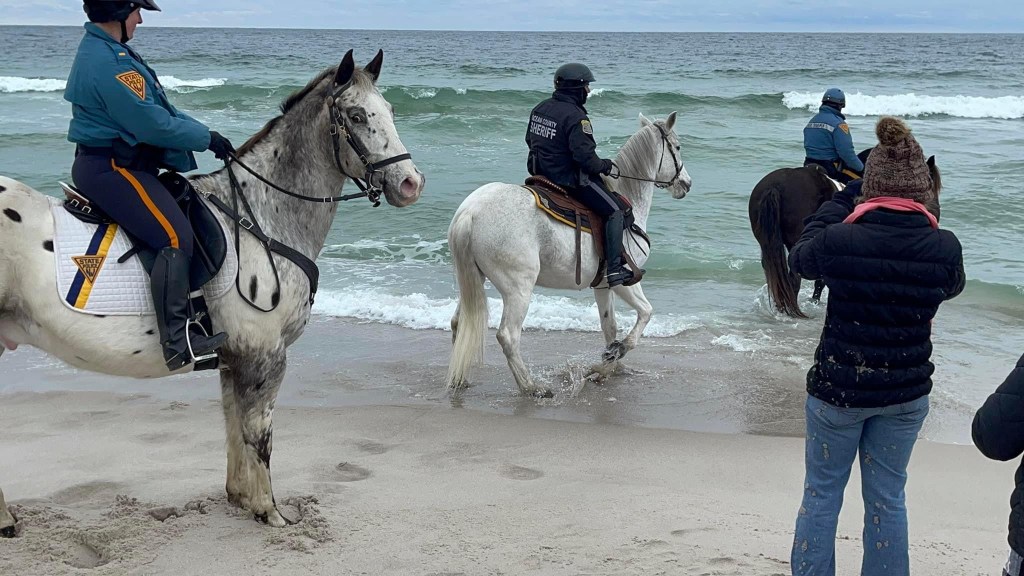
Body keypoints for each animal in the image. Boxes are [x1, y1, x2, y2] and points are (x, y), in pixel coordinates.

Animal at [0, 49, 424, 532]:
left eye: (390, 110)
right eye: (355, 115)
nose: (411, 183)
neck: (262, 216)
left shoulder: (236, 358)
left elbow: (233, 424)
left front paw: (242, 499)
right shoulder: (265, 355)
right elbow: (260, 434)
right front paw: (271, 512)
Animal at [445, 112, 692, 398]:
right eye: (677, 147)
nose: (686, 183)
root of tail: (471, 212)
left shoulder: (603, 285)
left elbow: (609, 325)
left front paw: (609, 367)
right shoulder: (626, 281)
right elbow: (646, 312)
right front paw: (616, 352)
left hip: (474, 278)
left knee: (458, 322)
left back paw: (461, 378)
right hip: (518, 288)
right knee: (508, 335)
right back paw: (532, 387)